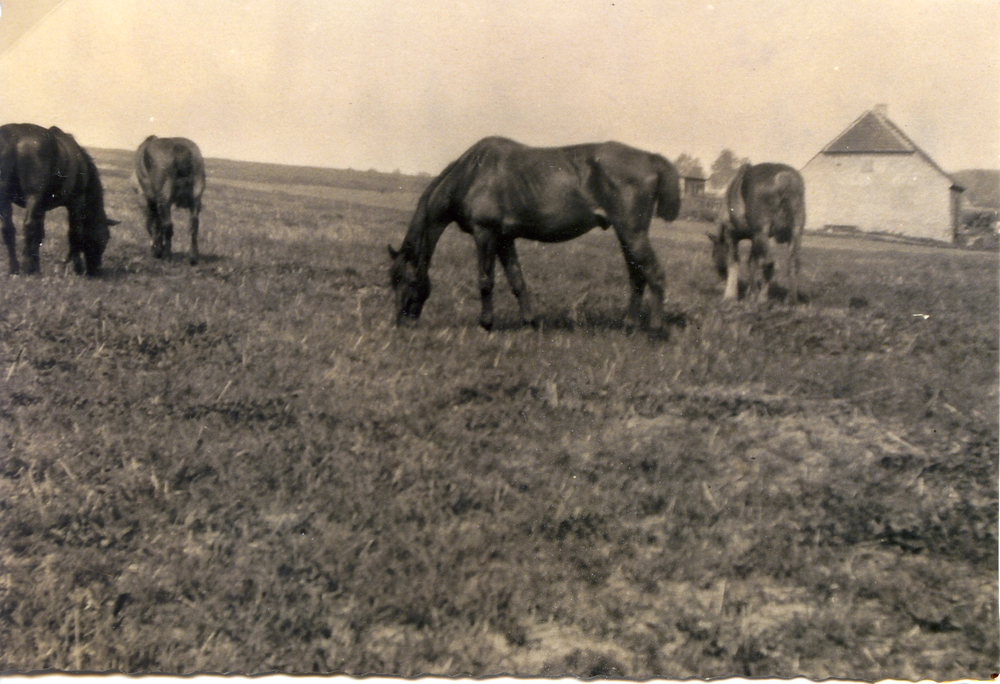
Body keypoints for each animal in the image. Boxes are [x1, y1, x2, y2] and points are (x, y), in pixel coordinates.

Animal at [0, 123, 119, 276]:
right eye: (105, 237)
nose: (96, 270)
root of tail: (12, 139)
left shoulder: (42, 207)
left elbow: (40, 233)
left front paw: (37, 266)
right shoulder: (76, 202)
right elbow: (75, 233)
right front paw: (76, 266)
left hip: (5, 197)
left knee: (8, 229)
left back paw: (14, 268)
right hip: (33, 196)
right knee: (28, 225)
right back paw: (26, 266)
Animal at [135, 135, 205, 264]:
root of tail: (181, 149)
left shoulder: (153, 199)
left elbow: (157, 223)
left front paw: (158, 249)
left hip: (165, 199)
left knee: (168, 225)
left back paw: (167, 255)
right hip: (196, 197)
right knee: (194, 225)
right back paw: (193, 257)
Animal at [386, 137, 684, 332]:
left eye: (407, 280)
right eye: (393, 280)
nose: (401, 324)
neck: (472, 174)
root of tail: (650, 158)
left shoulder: (485, 234)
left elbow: (486, 281)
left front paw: (486, 324)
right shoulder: (504, 239)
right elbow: (517, 281)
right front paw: (530, 321)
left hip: (632, 233)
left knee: (654, 273)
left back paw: (656, 329)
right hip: (625, 235)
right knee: (637, 276)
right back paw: (629, 325)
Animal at [712, 163, 804, 302]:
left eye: (714, 253)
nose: (720, 275)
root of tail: (785, 178)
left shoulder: (731, 235)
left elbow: (734, 262)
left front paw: (731, 295)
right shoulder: (754, 238)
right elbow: (752, 262)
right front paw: (749, 292)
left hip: (762, 233)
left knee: (768, 263)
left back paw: (760, 299)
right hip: (795, 232)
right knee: (793, 263)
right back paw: (790, 300)